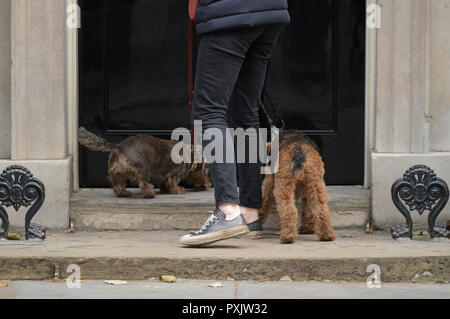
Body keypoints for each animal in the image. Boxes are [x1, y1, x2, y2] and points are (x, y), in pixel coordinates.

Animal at [79, 127, 209, 198]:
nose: (208, 185)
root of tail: (118, 147)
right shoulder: (174, 175)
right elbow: (172, 184)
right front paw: (177, 190)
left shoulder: (161, 176)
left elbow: (164, 184)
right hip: (143, 169)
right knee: (143, 184)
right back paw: (150, 194)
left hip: (116, 174)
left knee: (118, 186)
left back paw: (124, 193)